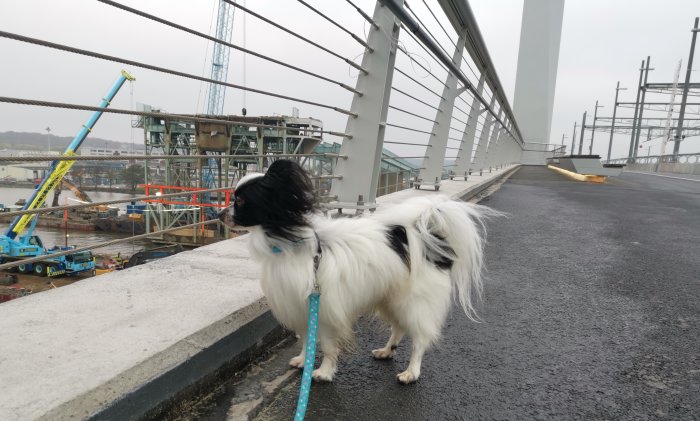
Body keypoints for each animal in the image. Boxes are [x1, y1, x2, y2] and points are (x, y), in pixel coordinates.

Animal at [221, 159, 494, 382]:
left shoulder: (324, 308)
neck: (289, 242)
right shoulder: (302, 307)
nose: (222, 213)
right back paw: (386, 350)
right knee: (399, 328)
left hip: (413, 302)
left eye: (241, 201)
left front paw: (323, 372)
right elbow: (308, 338)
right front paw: (303, 360)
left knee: (419, 338)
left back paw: (411, 372)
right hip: (391, 298)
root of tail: (426, 236)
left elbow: (327, 346)